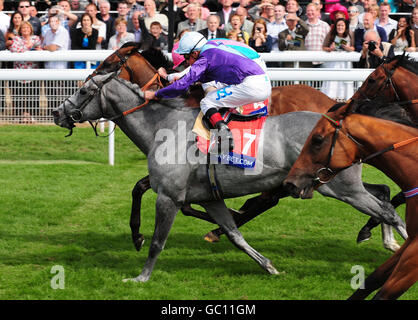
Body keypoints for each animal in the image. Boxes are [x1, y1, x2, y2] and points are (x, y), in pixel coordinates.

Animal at [52, 72, 408, 282]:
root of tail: (340, 123)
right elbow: (235, 234)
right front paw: (268, 265)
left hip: (341, 188)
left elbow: (157, 240)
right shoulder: (209, 198)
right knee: (385, 198)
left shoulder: (169, 196)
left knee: (388, 210)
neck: (163, 127)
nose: (57, 113)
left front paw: (141, 275)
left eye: (84, 90)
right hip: (336, 184)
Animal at [89, 43, 404, 250]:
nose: (89, 78)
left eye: (109, 63)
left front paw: (138, 235)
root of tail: (334, 106)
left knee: (269, 198)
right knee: (380, 190)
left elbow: (148, 191)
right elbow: (150, 190)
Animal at [284, 102, 418, 300]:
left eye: (317, 140)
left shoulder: (415, 249)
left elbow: (383, 293)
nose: (290, 183)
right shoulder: (412, 241)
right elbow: (372, 280)